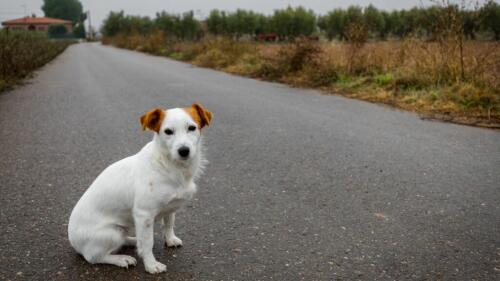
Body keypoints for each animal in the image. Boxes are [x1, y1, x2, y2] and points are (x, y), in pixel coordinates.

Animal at [69, 102, 213, 272]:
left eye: (192, 128)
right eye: (168, 131)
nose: (184, 151)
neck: (170, 166)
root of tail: (73, 241)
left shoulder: (170, 207)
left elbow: (169, 223)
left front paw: (170, 239)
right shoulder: (144, 215)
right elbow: (148, 242)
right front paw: (151, 265)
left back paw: (133, 241)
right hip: (113, 232)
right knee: (94, 257)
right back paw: (121, 259)